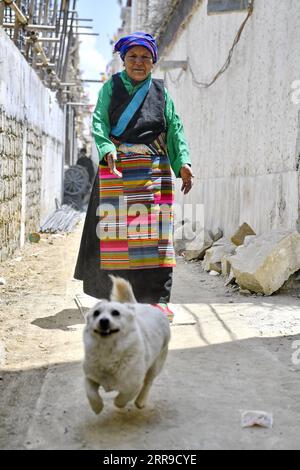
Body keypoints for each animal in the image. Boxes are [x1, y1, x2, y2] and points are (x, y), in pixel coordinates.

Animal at [83, 278, 170, 414]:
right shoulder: (90, 377)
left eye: (115, 313)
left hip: (156, 364)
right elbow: (91, 393)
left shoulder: (133, 384)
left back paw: (140, 401)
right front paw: (97, 407)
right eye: (96, 313)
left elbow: (123, 397)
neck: (108, 351)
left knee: (148, 382)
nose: (103, 321)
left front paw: (119, 404)